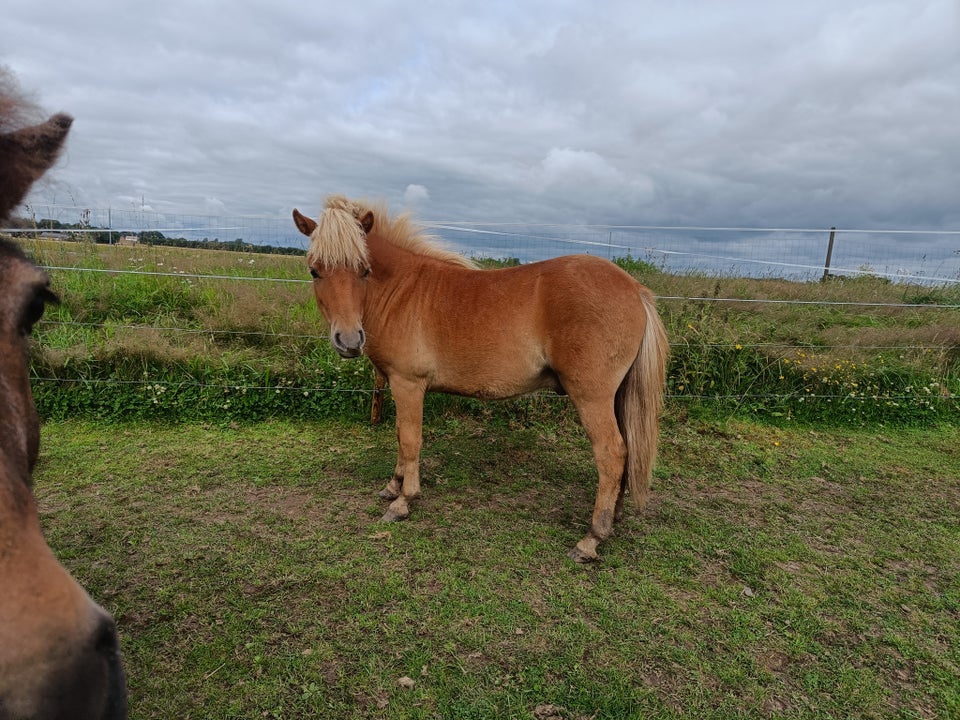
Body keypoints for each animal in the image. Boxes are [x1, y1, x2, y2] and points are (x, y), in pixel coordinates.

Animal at [292, 197, 668, 564]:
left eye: (364, 270)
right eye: (315, 271)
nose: (349, 340)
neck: (401, 291)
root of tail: (634, 287)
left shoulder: (408, 384)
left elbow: (410, 440)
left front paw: (403, 501)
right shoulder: (399, 386)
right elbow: (400, 436)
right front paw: (392, 486)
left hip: (592, 398)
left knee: (612, 454)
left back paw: (592, 538)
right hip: (616, 397)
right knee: (627, 450)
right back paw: (614, 516)